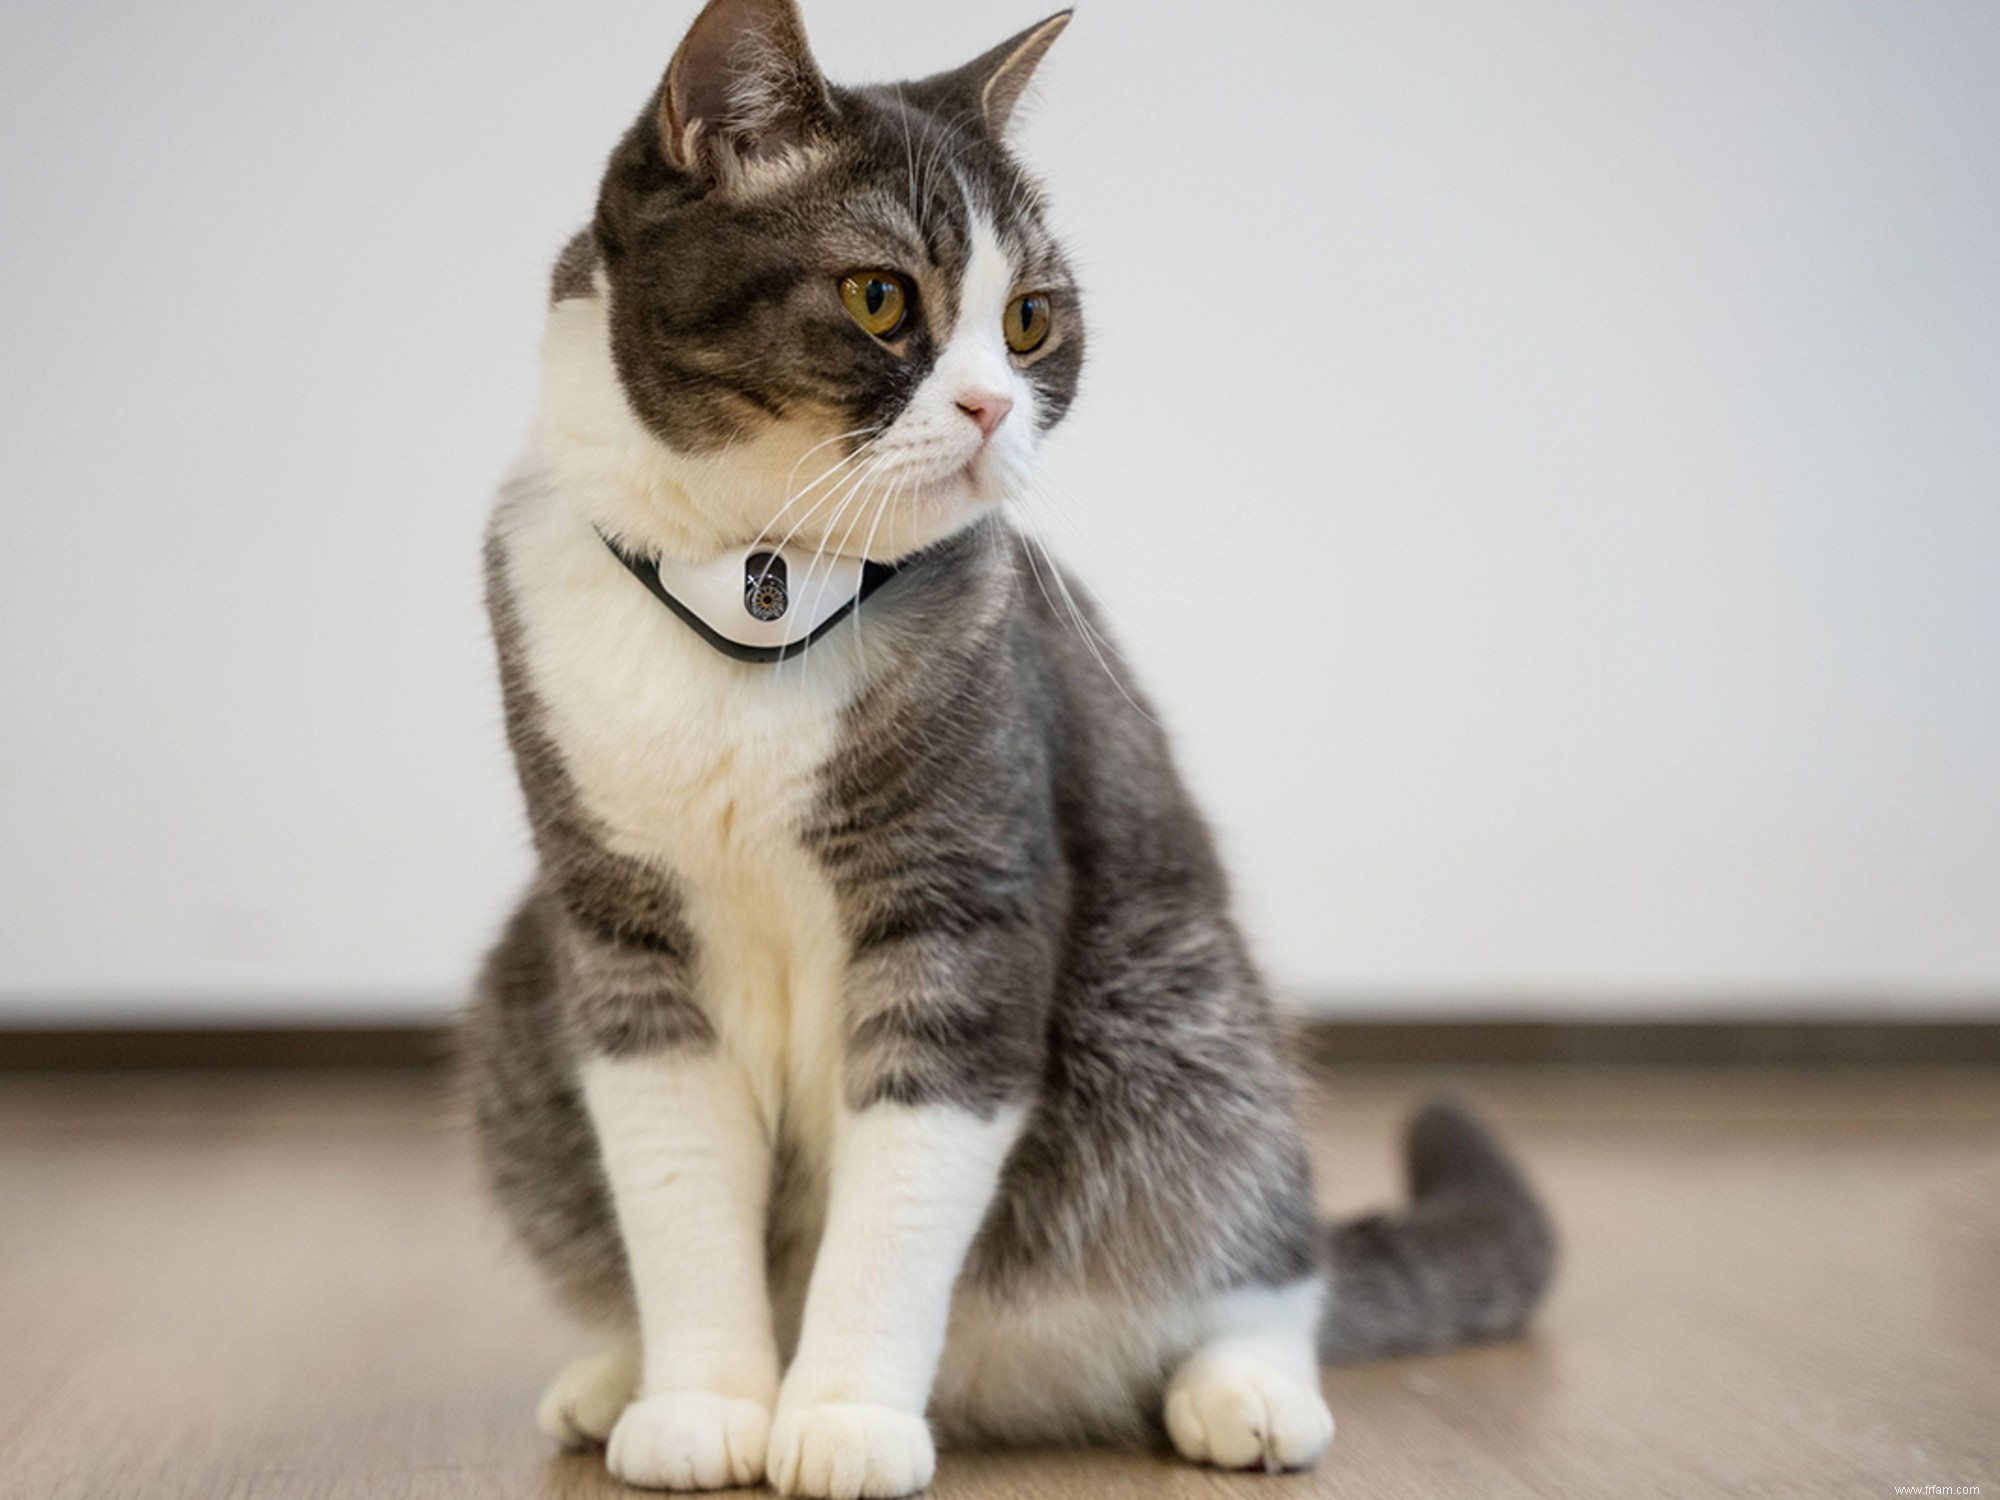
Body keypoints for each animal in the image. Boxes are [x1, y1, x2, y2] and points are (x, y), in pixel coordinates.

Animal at [460, 5, 1552, 1496]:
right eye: (878, 298)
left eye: (1030, 319)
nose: (989, 407)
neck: (756, 589)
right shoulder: (616, 935)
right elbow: (675, 1189)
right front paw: (699, 1404)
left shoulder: (964, 911)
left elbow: (902, 1199)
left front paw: (844, 1420)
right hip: (523, 980)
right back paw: (610, 1372)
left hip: (1180, 1012)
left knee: (1264, 1241)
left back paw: (1242, 1390)